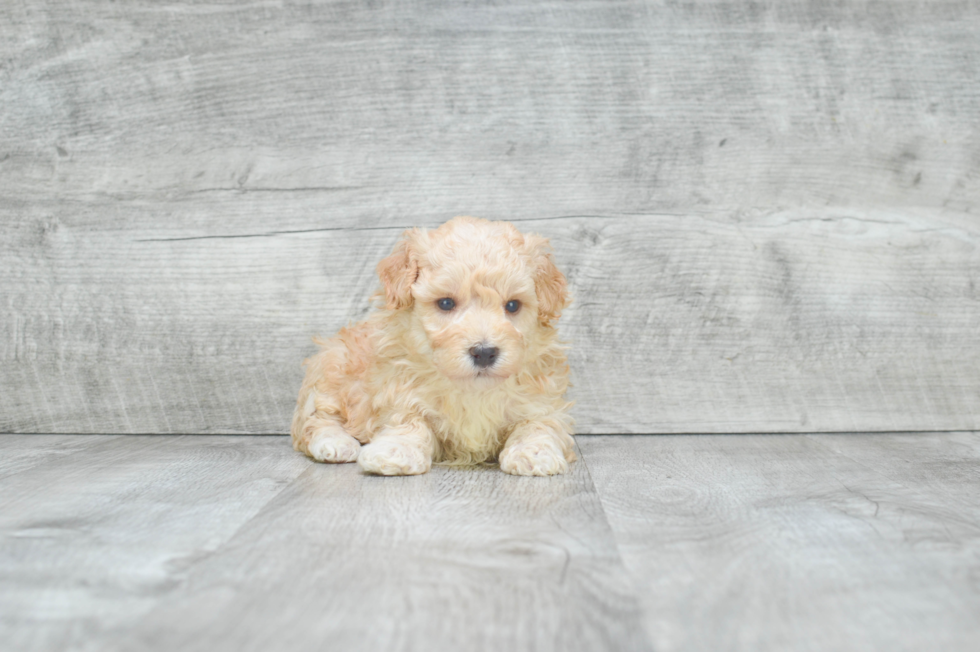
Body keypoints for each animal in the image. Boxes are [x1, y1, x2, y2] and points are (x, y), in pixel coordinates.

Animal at [288, 216, 576, 476]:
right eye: (446, 303)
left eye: (513, 305)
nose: (484, 353)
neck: (472, 390)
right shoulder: (400, 393)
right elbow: (408, 422)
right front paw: (396, 451)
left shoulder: (541, 402)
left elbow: (539, 425)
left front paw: (534, 453)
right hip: (332, 369)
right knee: (314, 419)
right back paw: (336, 443)